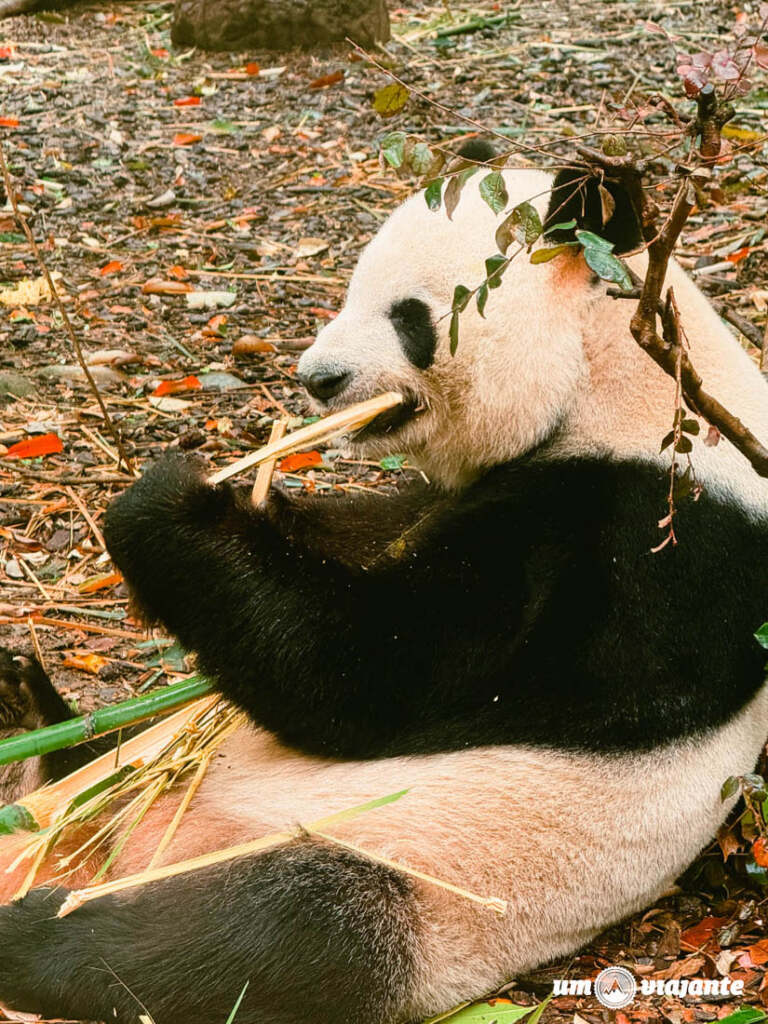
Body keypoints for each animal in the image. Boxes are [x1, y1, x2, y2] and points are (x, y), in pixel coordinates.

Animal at [0, 149, 767, 1024]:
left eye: (409, 316)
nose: (318, 380)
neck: (612, 373)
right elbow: (364, 539)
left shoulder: (650, 545)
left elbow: (375, 676)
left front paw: (166, 506)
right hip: (142, 782)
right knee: (106, 760)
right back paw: (25, 715)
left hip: (415, 876)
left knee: (252, 936)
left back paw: (37, 929)